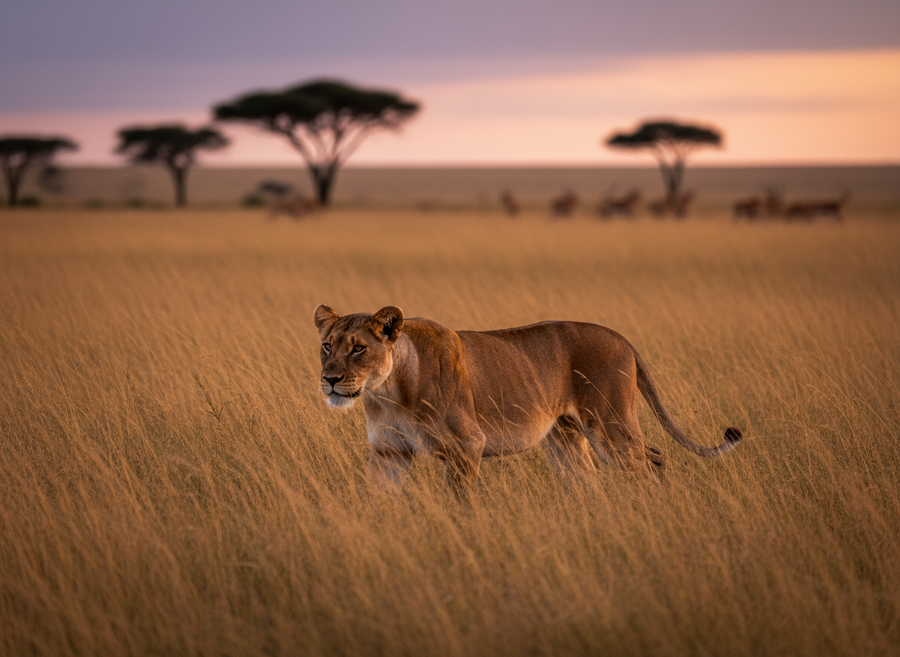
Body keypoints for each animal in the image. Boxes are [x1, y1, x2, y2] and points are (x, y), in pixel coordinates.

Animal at [314, 305, 741, 497]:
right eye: (327, 346)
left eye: (358, 349)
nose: (329, 380)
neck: (388, 392)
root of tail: (622, 338)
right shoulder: (388, 453)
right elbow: (377, 499)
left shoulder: (467, 445)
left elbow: (460, 501)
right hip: (564, 437)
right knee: (592, 475)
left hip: (609, 425)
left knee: (650, 459)